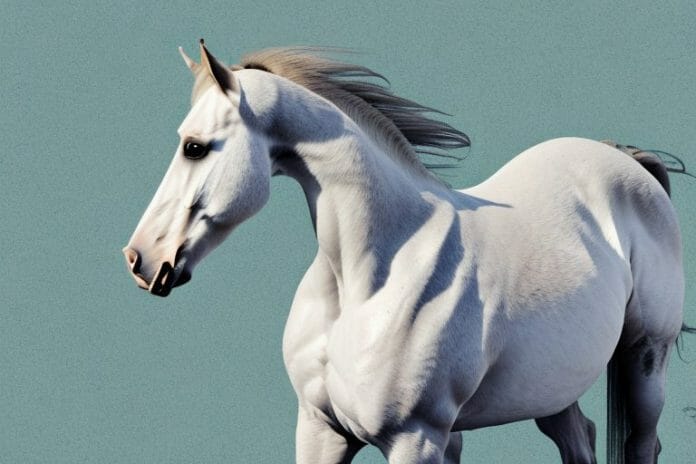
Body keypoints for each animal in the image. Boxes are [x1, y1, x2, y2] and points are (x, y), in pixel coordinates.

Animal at [122, 41, 686, 464]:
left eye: (194, 147)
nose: (140, 259)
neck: (370, 280)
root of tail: (621, 159)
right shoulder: (321, 431)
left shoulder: (418, 439)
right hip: (552, 385)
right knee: (579, 438)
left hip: (645, 363)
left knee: (643, 444)